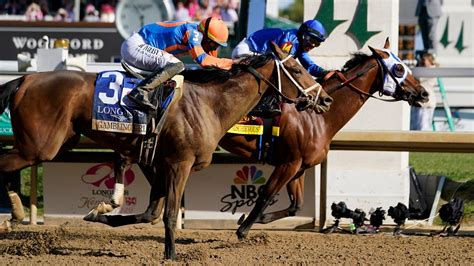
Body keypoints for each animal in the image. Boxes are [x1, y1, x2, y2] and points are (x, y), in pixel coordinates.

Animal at [0, 42, 334, 260]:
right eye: (295, 69)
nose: (326, 99)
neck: (210, 105)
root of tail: (25, 78)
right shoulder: (178, 164)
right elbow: (170, 213)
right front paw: (171, 255)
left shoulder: (157, 162)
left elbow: (151, 212)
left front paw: (99, 212)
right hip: (39, 147)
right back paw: (13, 213)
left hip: (57, 142)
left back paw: (15, 212)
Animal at [218, 38, 430, 239]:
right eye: (399, 68)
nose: (424, 93)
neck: (314, 118)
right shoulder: (288, 163)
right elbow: (266, 194)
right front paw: (243, 229)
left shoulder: (299, 166)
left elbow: (296, 206)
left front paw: (254, 218)